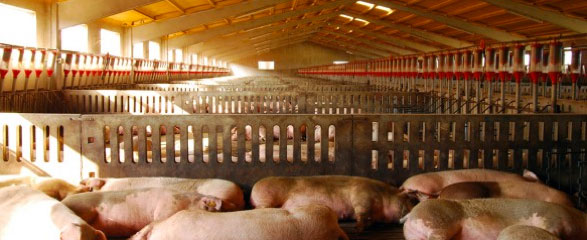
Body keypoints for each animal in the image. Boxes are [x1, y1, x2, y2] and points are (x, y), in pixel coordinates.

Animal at [250, 175, 416, 230]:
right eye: (408, 200)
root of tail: (253, 190)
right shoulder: (362, 196)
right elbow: (362, 212)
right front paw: (358, 228)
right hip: (267, 196)